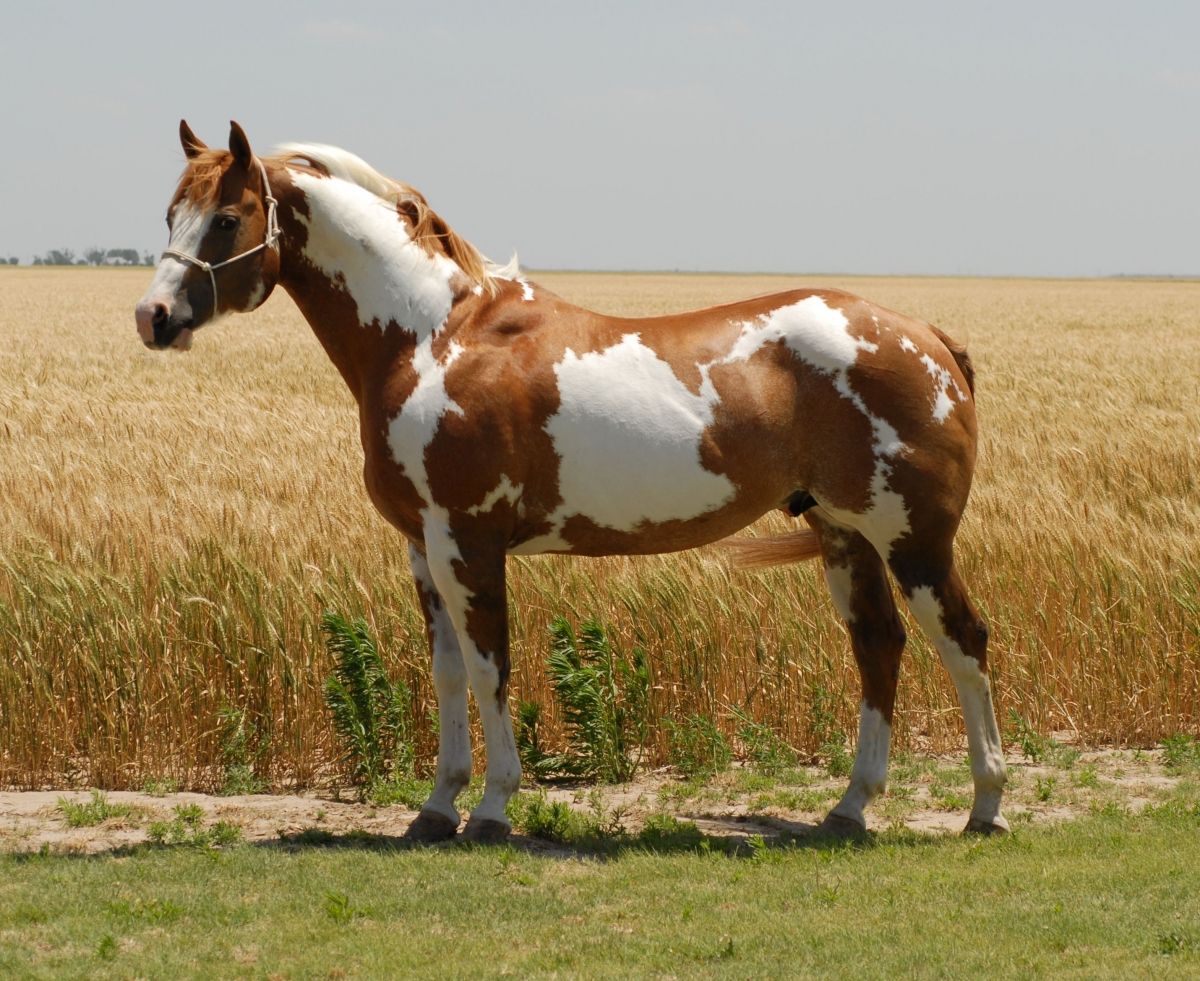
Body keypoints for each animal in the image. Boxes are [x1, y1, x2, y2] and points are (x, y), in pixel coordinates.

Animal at [135, 120, 1008, 843]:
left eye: (226, 218)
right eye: (170, 214)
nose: (153, 317)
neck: (432, 337)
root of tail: (926, 335)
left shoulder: (469, 541)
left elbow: (491, 666)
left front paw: (491, 808)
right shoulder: (424, 546)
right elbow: (448, 672)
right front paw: (436, 807)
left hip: (913, 539)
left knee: (962, 641)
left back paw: (986, 806)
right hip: (843, 533)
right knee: (879, 647)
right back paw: (850, 808)